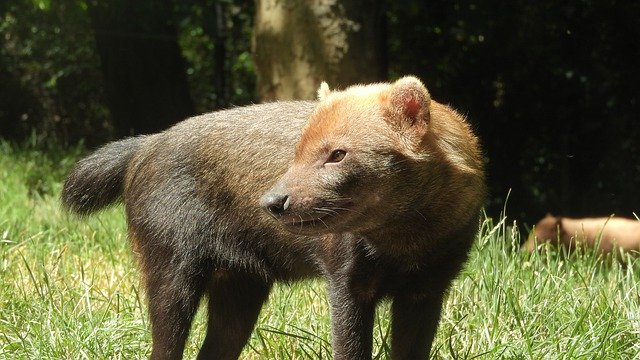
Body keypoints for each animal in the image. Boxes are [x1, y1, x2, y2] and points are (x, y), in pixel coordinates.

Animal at [63, 76, 484, 360]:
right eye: (297, 150)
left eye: (337, 154)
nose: (271, 201)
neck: (406, 243)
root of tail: (147, 143)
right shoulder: (347, 287)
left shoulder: (426, 291)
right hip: (172, 278)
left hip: (239, 290)